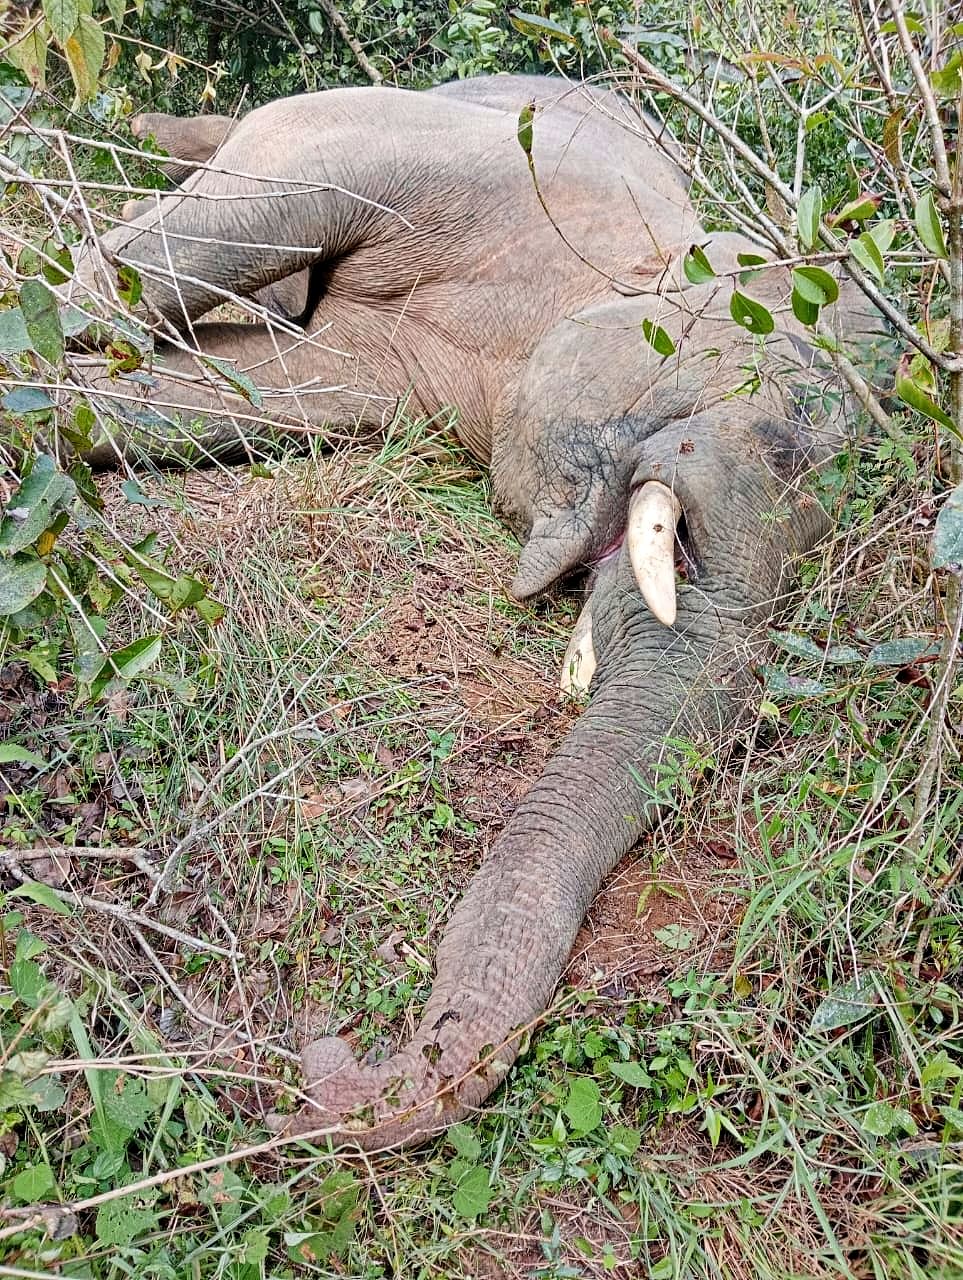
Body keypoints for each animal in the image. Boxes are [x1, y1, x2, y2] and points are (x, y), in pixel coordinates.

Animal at [67, 72, 881, 1152]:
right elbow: (247, 208)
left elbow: (255, 387)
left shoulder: (406, 373)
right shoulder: (484, 169)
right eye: (786, 433)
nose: (319, 1054)